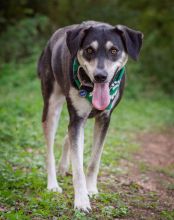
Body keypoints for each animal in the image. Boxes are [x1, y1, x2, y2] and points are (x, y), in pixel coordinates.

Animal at [37, 20, 143, 211]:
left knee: (67, 137)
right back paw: (53, 184)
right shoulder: (77, 119)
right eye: (89, 50)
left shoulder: (104, 119)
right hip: (51, 107)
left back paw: (63, 167)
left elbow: (94, 160)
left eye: (114, 50)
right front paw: (81, 200)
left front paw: (91, 189)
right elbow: (78, 167)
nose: (100, 76)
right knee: (50, 150)